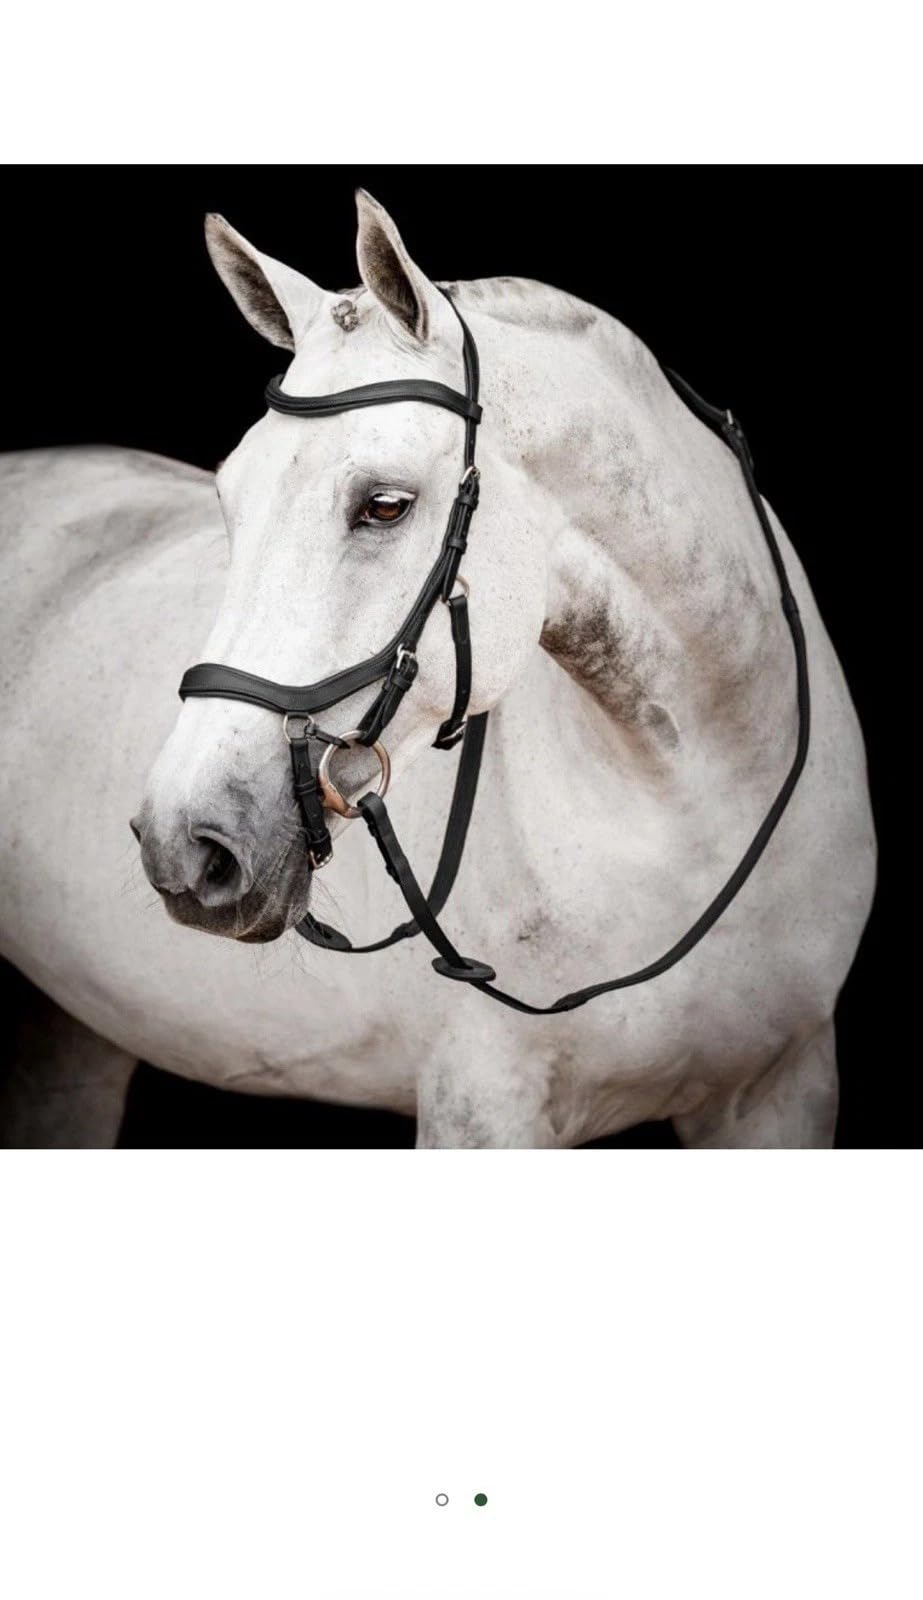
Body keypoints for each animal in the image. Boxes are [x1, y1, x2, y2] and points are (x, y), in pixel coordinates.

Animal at [0, 190, 875, 1147]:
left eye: (384, 505)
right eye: (229, 496)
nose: (185, 846)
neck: (688, 813)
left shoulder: (782, 1087)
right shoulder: (482, 1106)